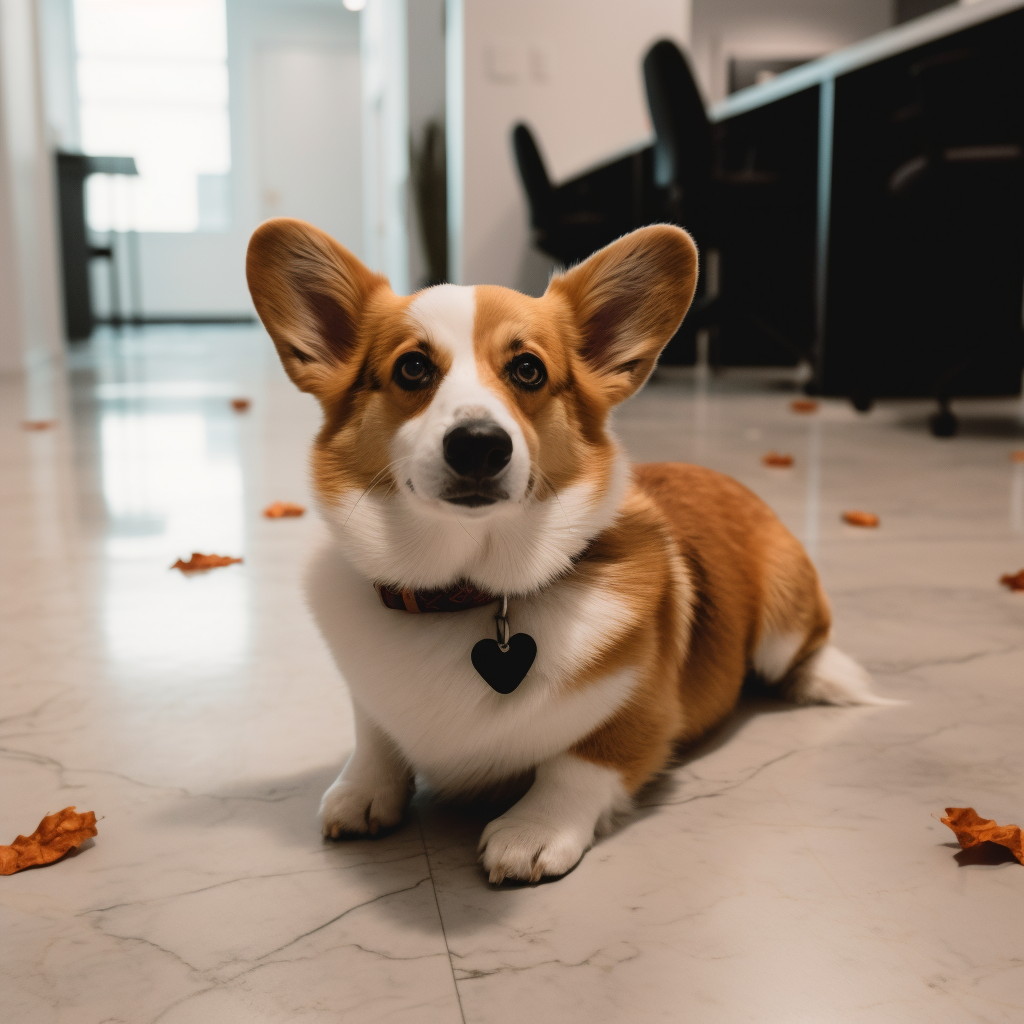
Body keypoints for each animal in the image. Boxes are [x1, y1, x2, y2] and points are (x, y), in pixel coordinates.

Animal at [243, 220, 892, 884]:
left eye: (528, 370)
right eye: (413, 369)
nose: (479, 445)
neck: (466, 587)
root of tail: (718, 472)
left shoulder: (642, 716)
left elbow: (577, 764)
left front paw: (532, 831)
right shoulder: (368, 698)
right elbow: (374, 734)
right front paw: (363, 791)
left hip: (782, 623)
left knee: (804, 651)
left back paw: (824, 678)